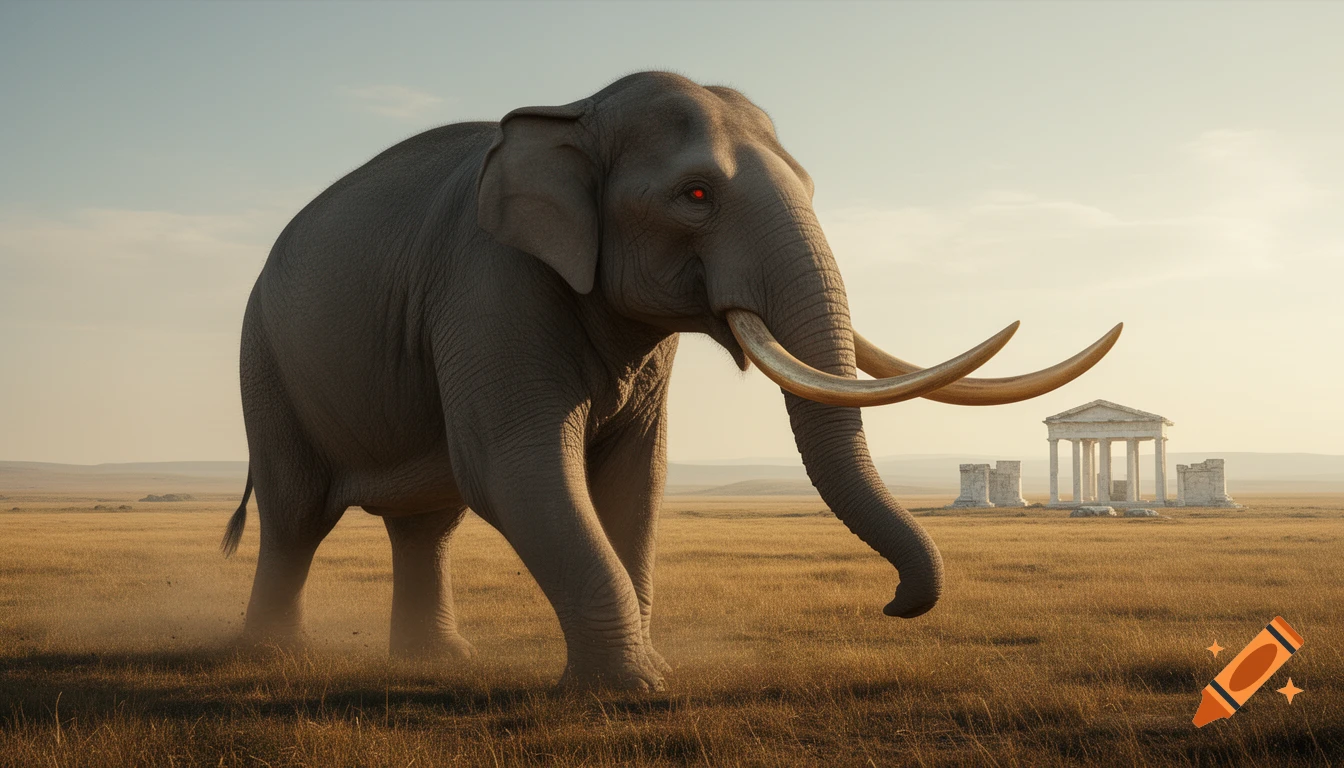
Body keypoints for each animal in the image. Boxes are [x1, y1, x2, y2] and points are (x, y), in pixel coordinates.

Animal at [222, 71, 1120, 690]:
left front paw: (639, 677)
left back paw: (440, 661)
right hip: (264, 356)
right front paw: (635, 691)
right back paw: (271, 657)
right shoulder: (487, 285)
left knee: (426, 523)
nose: (895, 604)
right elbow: (517, 467)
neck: (578, 108)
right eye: (695, 194)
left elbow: (635, 477)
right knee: (297, 512)